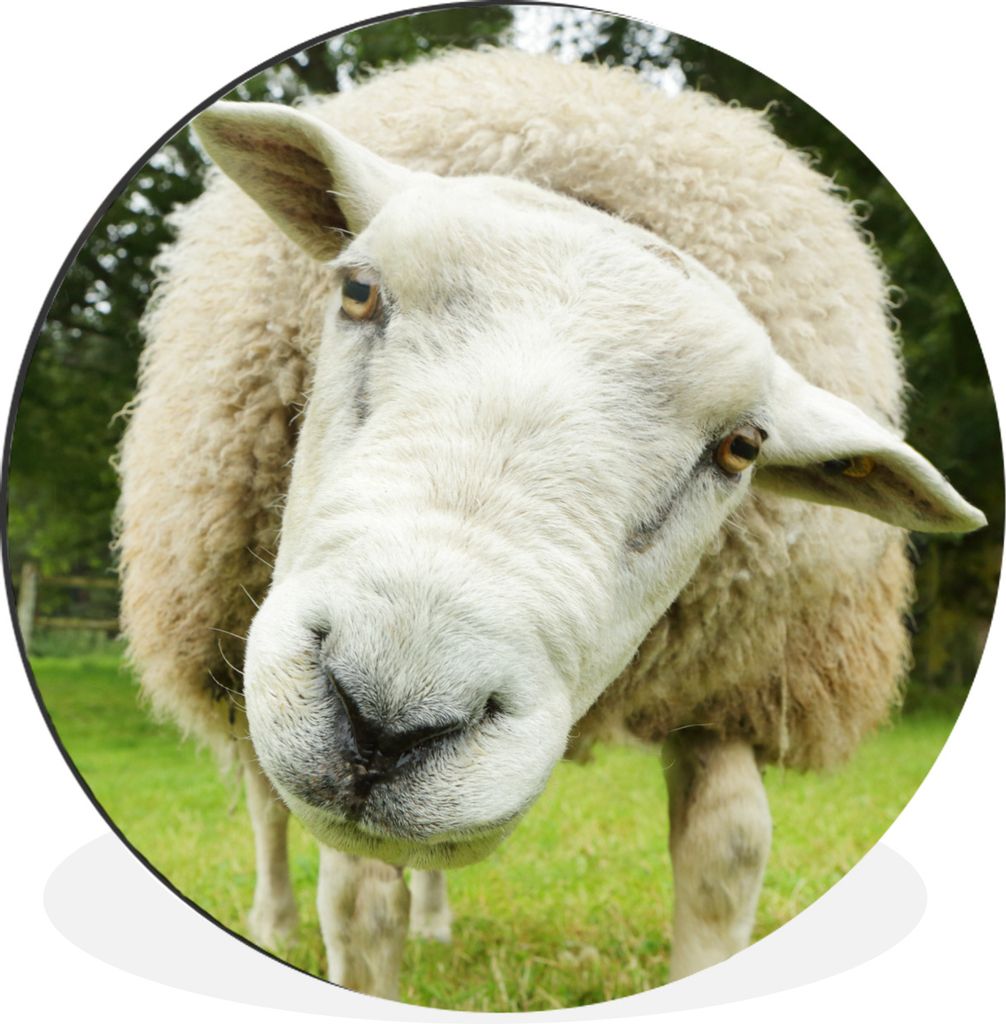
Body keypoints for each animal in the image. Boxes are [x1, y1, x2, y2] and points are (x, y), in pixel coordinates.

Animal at [115, 47, 984, 1000]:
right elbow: (355, 902)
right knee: (264, 798)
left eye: (742, 447)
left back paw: (436, 922)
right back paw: (273, 922)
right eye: (358, 290)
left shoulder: (732, 682)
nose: (388, 720)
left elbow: (726, 855)